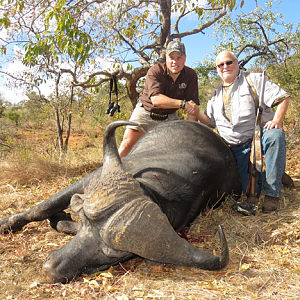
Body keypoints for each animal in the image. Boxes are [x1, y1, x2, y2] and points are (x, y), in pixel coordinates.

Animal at [0, 120, 241, 284]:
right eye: (86, 222)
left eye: (111, 253)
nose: (49, 269)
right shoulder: (87, 180)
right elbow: (41, 208)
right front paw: (7, 223)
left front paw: (60, 219)